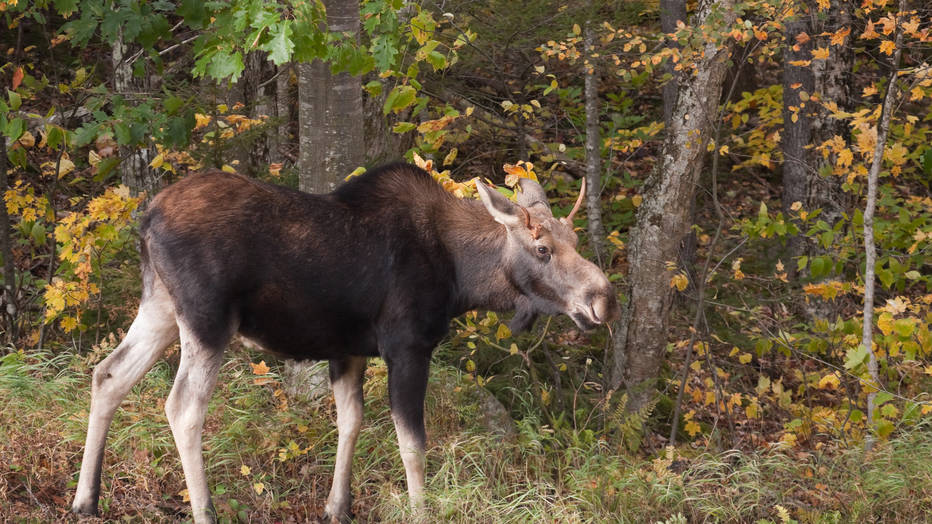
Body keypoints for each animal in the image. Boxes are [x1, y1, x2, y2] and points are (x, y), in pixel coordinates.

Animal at [71, 162, 620, 520]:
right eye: (543, 249)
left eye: (576, 242)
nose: (604, 300)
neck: (461, 277)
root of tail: (146, 220)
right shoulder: (408, 346)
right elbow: (412, 443)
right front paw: (421, 511)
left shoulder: (348, 350)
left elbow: (350, 423)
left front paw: (338, 507)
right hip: (207, 321)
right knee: (183, 406)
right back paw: (203, 510)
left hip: (160, 308)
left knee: (108, 374)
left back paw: (85, 500)